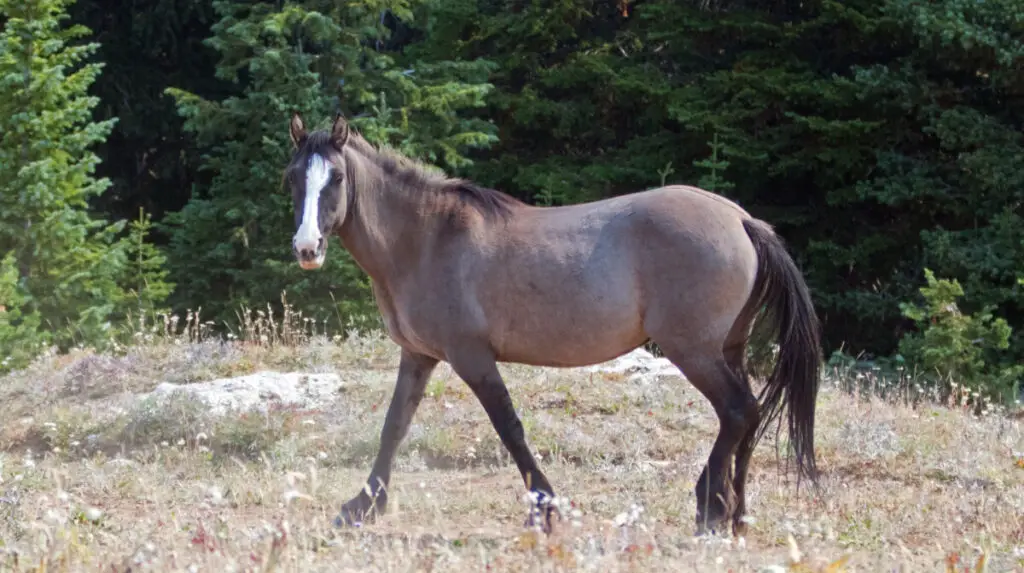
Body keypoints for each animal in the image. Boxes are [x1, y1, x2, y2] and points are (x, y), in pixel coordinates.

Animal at [282, 113, 823, 536]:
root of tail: (741, 220)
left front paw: (544, 508)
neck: (426, 239)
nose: (307, 248)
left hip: (694, 352)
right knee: (749, 415)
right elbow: (394, 425)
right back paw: (737, 513)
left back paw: (710, 506)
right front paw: (363, 505)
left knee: (736, 411)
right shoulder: (418, 355)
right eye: (294, 179)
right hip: (727, 349)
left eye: (336, 178)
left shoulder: (470, 356)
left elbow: (510, 428)